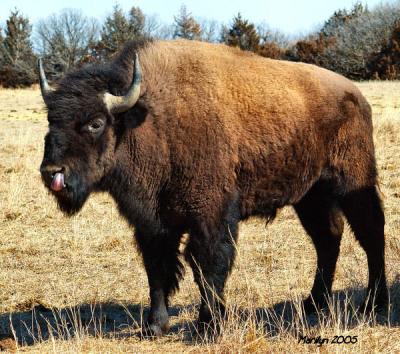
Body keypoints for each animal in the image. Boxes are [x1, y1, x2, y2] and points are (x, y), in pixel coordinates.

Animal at [37, 40, 388, 336]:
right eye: (51, 120)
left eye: (95, 122)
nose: (52, 172)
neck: (149, 119)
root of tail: (356, 95)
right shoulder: (152, 224)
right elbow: (158, 270)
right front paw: (155, 326)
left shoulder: (211, 216)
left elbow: (207, 266)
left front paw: (209, 324)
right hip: (310, 196)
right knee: (328, 239)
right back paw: (313, 303)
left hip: (352, 183)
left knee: (371, 234)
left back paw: (373, 304)